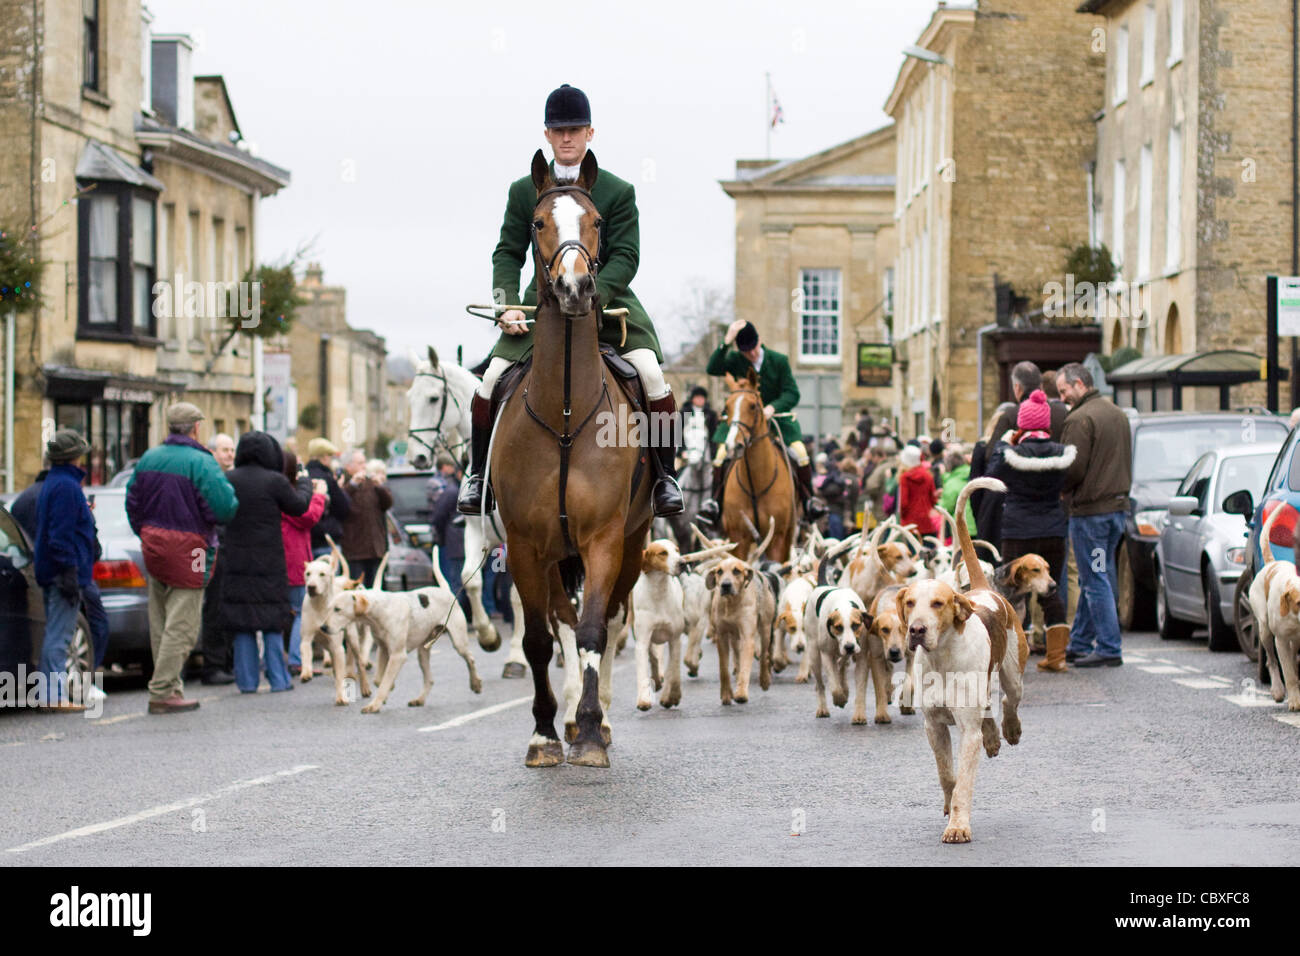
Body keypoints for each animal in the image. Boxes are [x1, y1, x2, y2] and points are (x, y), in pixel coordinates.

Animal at [488, 149, 650, 770]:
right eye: (536, 223)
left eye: (599, 220)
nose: (577, 287)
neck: (563, 411)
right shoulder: (526, 545)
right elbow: (539, 639)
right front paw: (544, 733)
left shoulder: (604, 538)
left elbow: (594, 631)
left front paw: (588, 733)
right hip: (555, 556)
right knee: (559, 622)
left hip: (632, 542)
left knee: (608, 620)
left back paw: (598, 718)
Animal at [717, 371, 795, 567]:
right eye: (727, 407)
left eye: (753, 406)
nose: (733, 446)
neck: (756, 483)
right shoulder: (738, 537)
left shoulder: (777, 538)